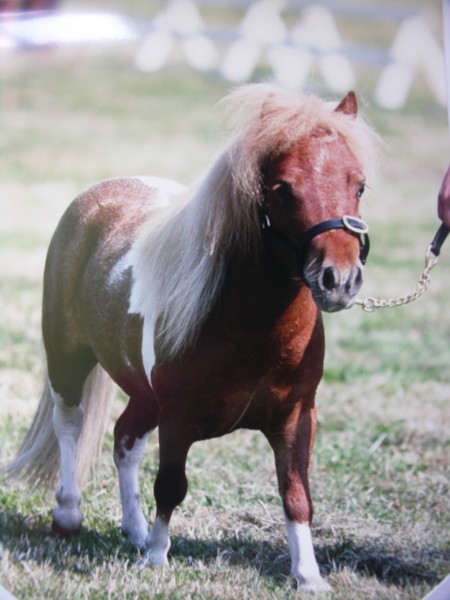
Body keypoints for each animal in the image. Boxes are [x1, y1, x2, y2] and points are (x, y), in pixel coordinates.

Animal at [5, 83, 380, 592]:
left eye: (358, 185)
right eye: (283, 188)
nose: (338, 279)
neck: (250, 324)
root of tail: (98, 194)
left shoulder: (297, 417)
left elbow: (297, 495)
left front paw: (309, 576)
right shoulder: (178, 418)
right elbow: (171, 485)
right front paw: (157, 558)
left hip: (143, 393)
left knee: (125, 439)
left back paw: (135, 530)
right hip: (67, 356)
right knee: (71, 424)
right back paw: (69, 514)